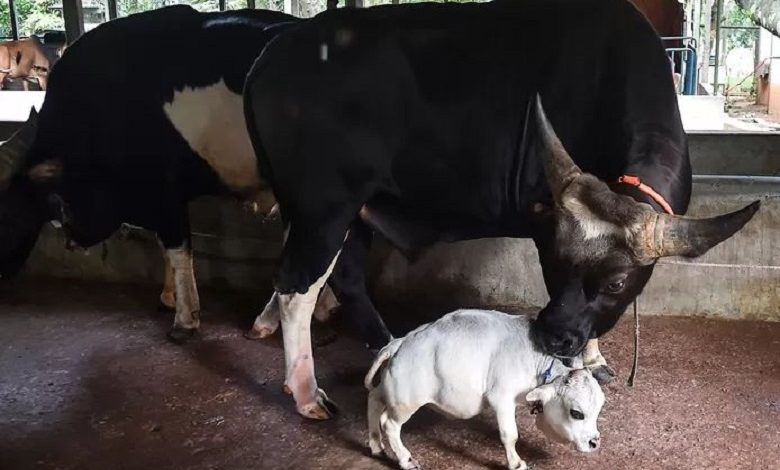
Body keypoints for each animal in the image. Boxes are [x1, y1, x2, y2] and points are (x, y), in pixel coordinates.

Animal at [247, 0, 760, 418]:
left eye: (616, 281)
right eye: (552, 262)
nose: (553, 337)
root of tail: (273, 52)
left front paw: (594, 357)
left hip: (351, 210)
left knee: (345, 279)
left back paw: (382, 344)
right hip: (324, 208)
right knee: (296, 286)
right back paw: (307, 391)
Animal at [364, 308, 604, 470]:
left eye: (599, 409)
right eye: (576, 413)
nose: (594, 442)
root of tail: (399, 343)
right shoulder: (502, 398)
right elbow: (510, 435)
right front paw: (516, 463)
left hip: (389, 390)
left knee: (373, 399)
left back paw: (376, 444)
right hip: (406, 402)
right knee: (390, 424)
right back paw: (406, 459)